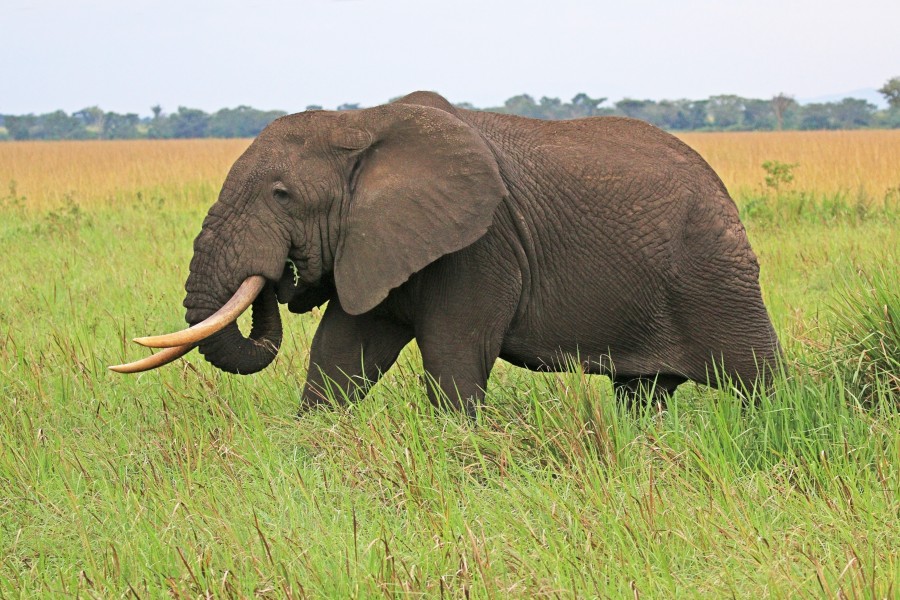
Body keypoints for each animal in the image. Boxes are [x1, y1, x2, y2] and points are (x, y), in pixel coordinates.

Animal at [112, 91, 782, 416]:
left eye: (282, 195)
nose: (283, 275)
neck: (363, 125)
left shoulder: (480, 247)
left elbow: (455, 358)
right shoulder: (378, 242)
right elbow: (340, 354)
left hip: (716, 271)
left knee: (756, 379)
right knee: (642, 393)